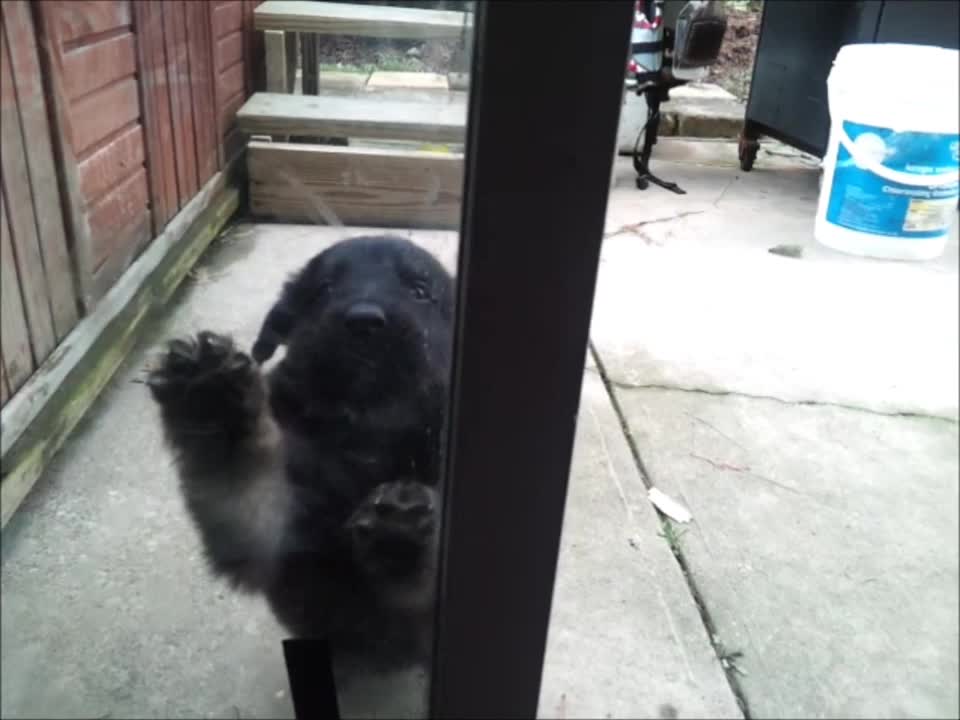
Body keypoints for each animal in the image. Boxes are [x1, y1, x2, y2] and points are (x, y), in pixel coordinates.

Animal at [147, 235, 454, 664]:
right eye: (324, 290)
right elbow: (240, 474)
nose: (364, 323)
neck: (367, 431)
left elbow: (419, 585)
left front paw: (400, 536)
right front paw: (214, 398)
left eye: (419, 291)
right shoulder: (267, 534)